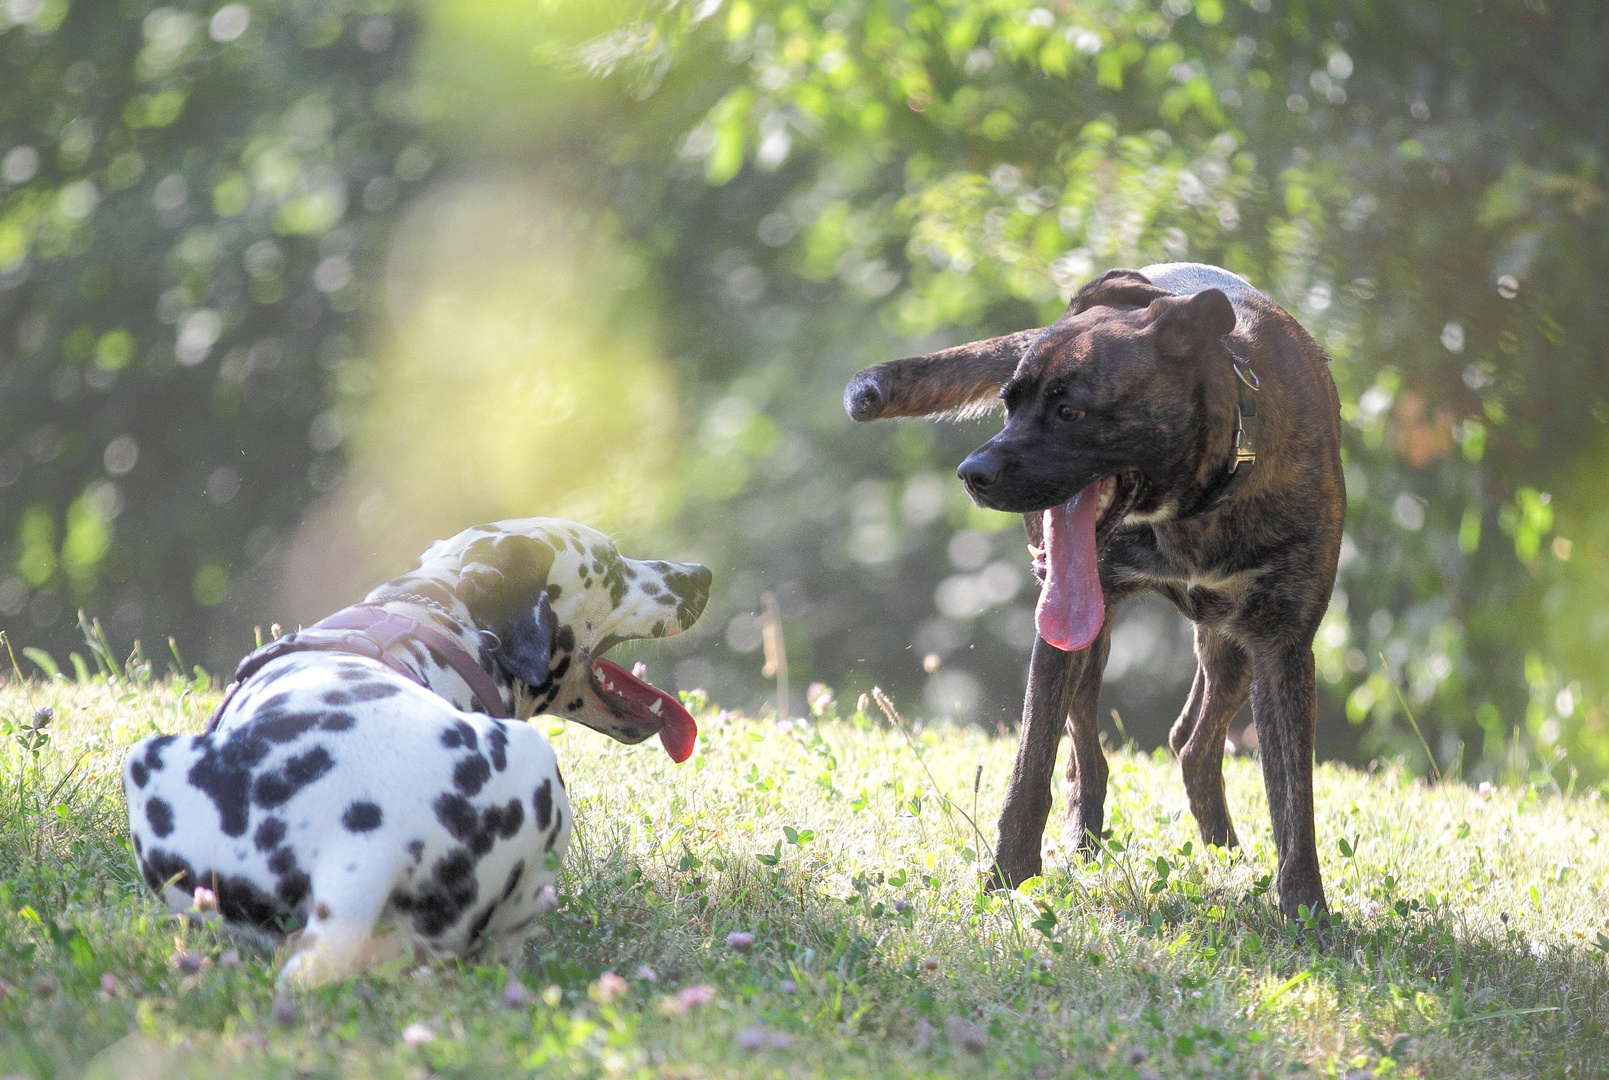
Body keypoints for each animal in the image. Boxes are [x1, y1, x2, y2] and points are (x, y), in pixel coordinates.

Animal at [843, 263, 1345, 920]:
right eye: (1009, 404)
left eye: (1070, 412)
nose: (971, 474)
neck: (1193, 504)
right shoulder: (1063, 629)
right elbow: (1031, 767)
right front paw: (1007, 878)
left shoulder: (1281, 645)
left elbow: (1294, 800)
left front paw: (1306, 911)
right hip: (1093, 634)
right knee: (1088, 747)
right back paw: (1087, 834)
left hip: (1230, 652)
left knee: (1193, 743)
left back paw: (1225, 854)